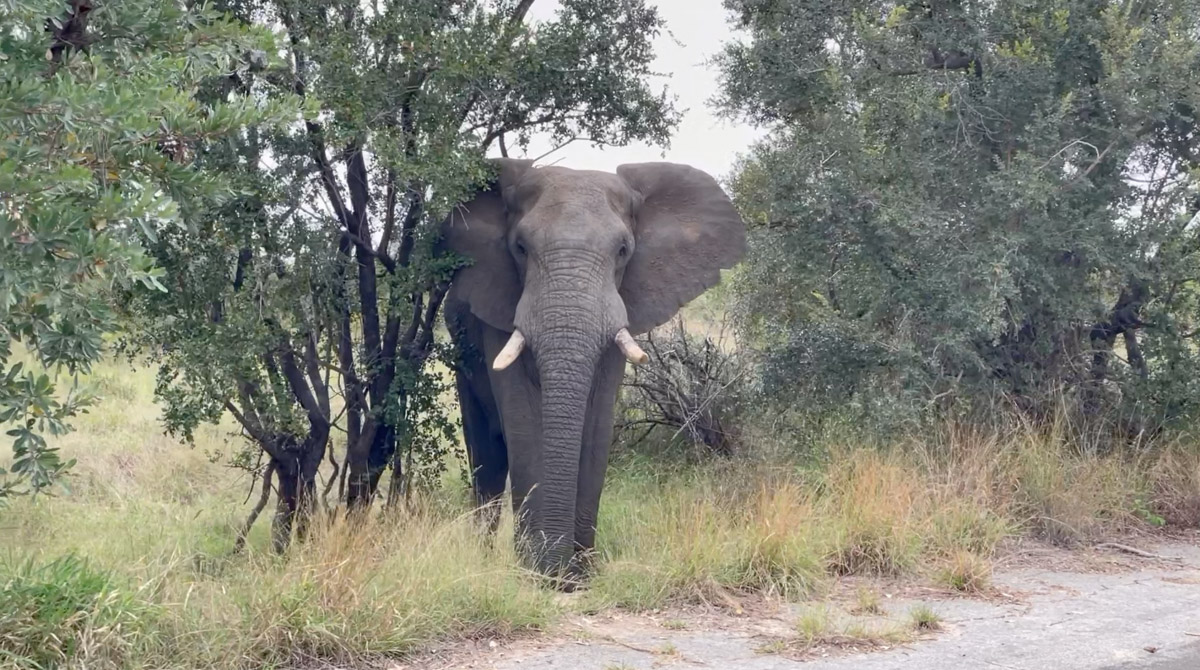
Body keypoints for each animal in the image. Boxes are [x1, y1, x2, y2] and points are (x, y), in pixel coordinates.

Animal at [441, 159, 739, 585]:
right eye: (520, 248)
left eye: (623, 251)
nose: (558, 569)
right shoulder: (497, 307)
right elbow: (523, 418)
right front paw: (537, 570)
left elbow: (597, 420)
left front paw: (578, 573)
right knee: (488, 456)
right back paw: (483, 558)